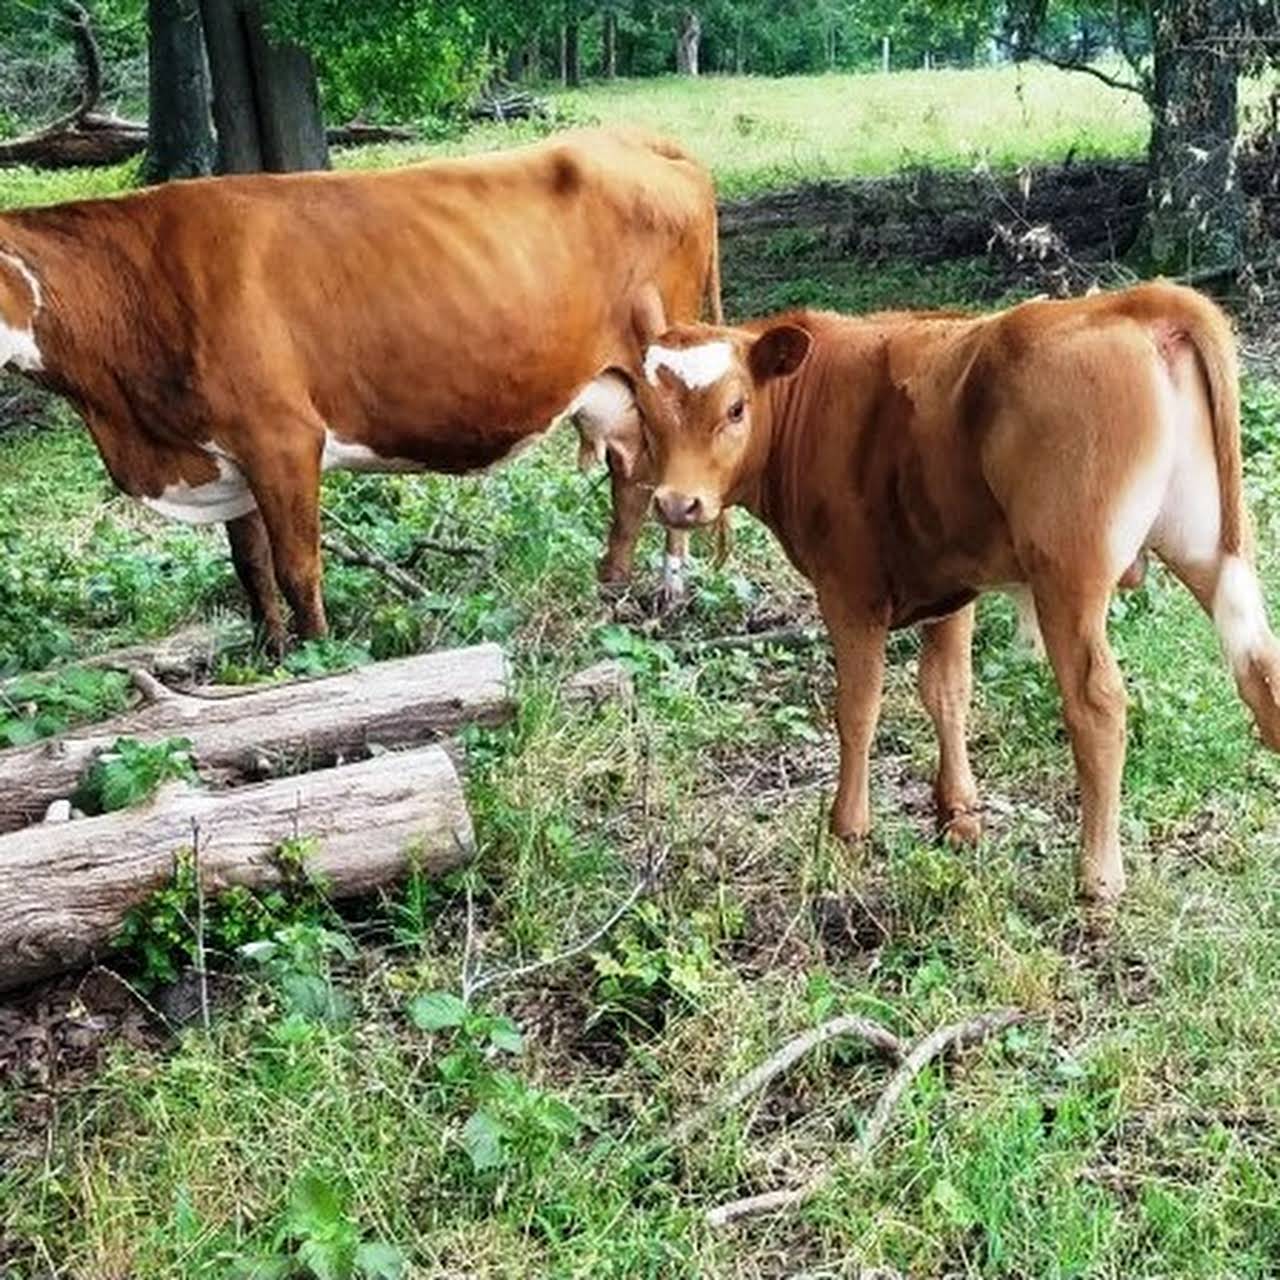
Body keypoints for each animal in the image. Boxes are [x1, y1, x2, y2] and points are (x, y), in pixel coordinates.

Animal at [0, 127, 721, 650]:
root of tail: (635, 137)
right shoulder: (226, 452)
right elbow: (250, 567)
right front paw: (269, 658)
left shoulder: (283, 439)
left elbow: (297, 568)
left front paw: (321, 663)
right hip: (615, 393)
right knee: (631, 486)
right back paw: (613, 591)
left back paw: (668, 593)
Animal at [606, 282, 1280, 901]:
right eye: (647, 413)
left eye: (736, 408)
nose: (678, 504)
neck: (813, 394)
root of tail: (1131, 304)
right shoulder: (951, 586)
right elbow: (947, 692)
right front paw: (958, 815)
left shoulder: (849, 588)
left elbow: (858, 707)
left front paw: (848, 830)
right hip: (1207, 543)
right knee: (1260, 668)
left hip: (1069, 574)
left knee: (1097, 704)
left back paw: (1098, 877)